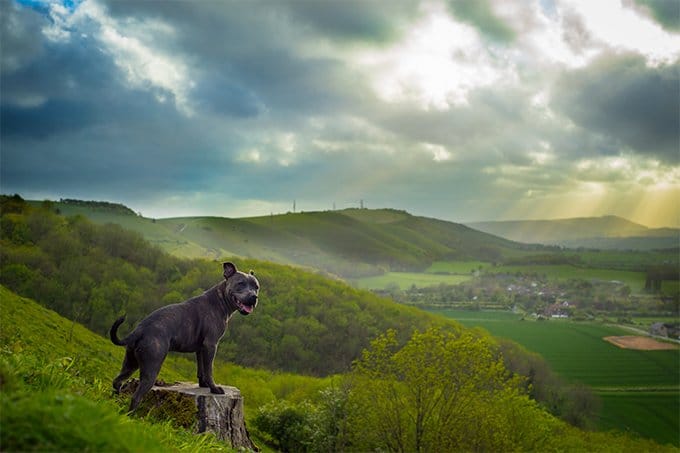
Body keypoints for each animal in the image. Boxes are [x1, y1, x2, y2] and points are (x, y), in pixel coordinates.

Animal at [109, 260, 258, 412]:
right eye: (240, 283)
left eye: (256, 287)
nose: (254, 297)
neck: (220, 299)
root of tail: (139, 330)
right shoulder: (211, 345)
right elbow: (209, 369)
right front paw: (214, 389)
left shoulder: (201, 348)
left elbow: (201, 370)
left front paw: (204, 385)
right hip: (151, 368)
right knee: (136, 396)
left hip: (130, 363)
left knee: (117, 381)